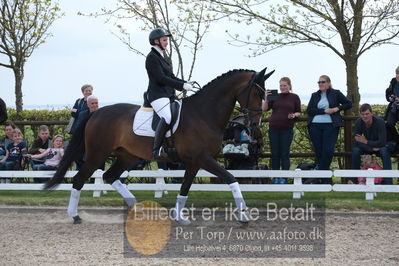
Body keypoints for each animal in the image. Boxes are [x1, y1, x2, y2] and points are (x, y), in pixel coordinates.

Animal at [44, 68, 276, 224]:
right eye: (257, 93)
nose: (255, 124)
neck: (203, 113)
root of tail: (96, 112)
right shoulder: (203, 159)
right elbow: (231, 178)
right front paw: (244, 215)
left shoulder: (194, 162)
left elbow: (185, 188)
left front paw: (179, 216)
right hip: (96, 154)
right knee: (79, 179)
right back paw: (75, 216)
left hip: (126, 155)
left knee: (110, 176)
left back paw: (137, 208)